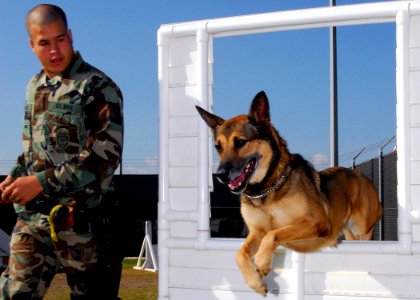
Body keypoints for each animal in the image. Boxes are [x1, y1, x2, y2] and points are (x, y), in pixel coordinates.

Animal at [195, 91, 382, 296]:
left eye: (241, 142)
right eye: (218, 147)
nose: (220, 175)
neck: (265, 190)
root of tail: (359, 173)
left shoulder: (316, 221)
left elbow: (274, 233)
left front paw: (261, 261)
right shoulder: (256, 232)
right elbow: (240, 253)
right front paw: (255, 282)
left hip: (362, 230)